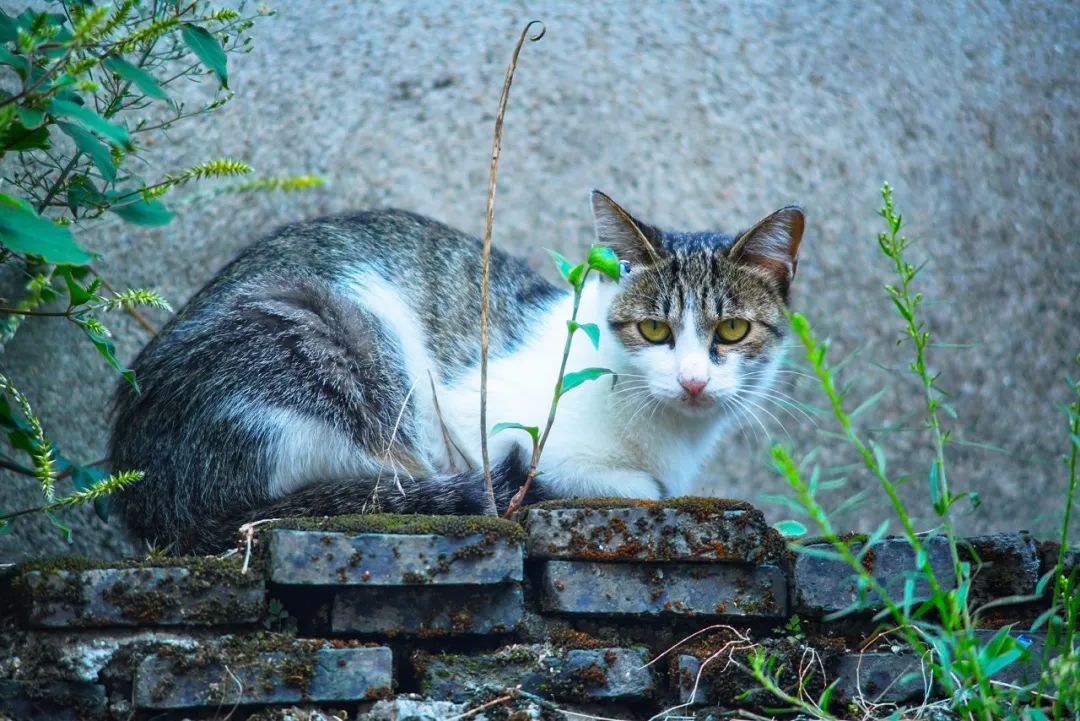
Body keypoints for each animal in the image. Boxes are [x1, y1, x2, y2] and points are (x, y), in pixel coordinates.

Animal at [107, 191, 803, 552]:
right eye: (655, 331)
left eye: (732, 331)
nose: (693, 381)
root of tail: (152, 492)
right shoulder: (481, 417)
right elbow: (632, 487)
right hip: (328, 335)